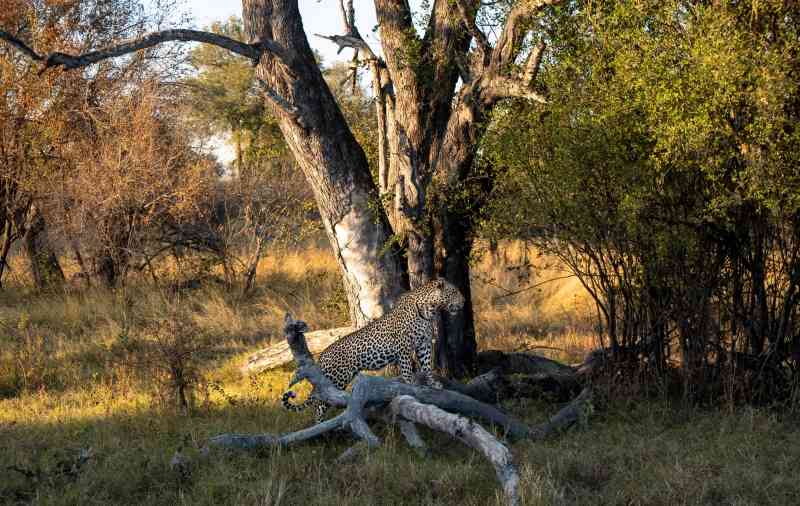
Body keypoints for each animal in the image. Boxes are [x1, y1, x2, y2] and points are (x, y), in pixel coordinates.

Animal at [281, 278, 465, 423]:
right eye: (455, 291)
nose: (464, 302)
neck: (429, 310)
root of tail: (322, 357)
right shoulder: (404, 347)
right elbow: (407, 370)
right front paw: (412, 385)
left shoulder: (424, 344)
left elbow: (427, 366)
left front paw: (433, 384)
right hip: (337, 378)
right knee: (319, 403)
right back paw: (319, 424)